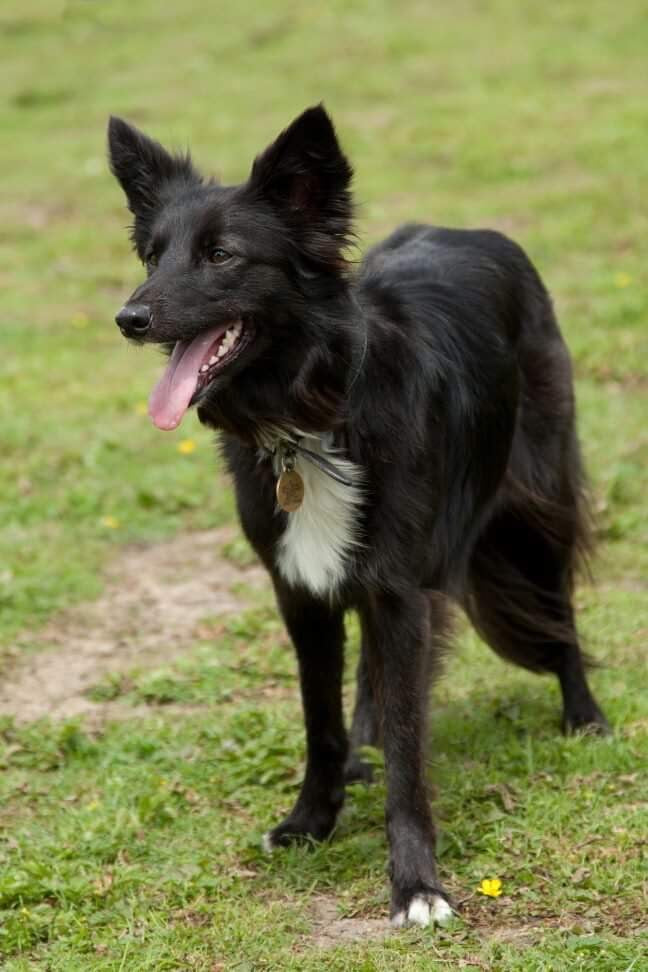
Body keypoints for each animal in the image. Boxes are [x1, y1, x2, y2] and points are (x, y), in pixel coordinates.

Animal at [109, 106, 612, 928]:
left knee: (557, 608)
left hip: (535, 514)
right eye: (153, 256)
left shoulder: (401, 590)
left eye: (221, 255)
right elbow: (321, 721)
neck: (314, 412)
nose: (130, 316)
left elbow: (411, 747)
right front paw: (312, 820)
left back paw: (585, 717)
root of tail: (476, 232)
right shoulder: (301, 592)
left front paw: (417, 885)